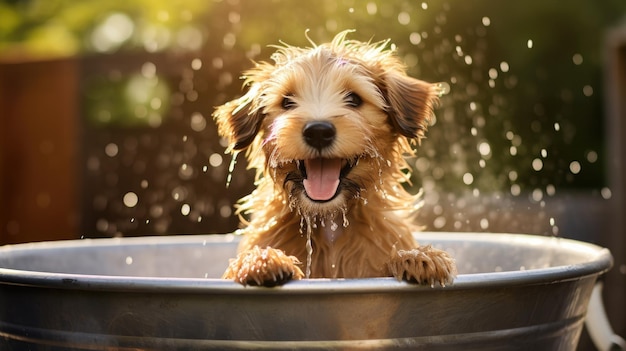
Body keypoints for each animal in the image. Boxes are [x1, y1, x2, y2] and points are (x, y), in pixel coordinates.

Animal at [213, 30, 454, 288]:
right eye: (287, 101)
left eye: (354, 99)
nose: (318, 131)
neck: (329, 221)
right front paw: (262, 260)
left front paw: (417, 256)